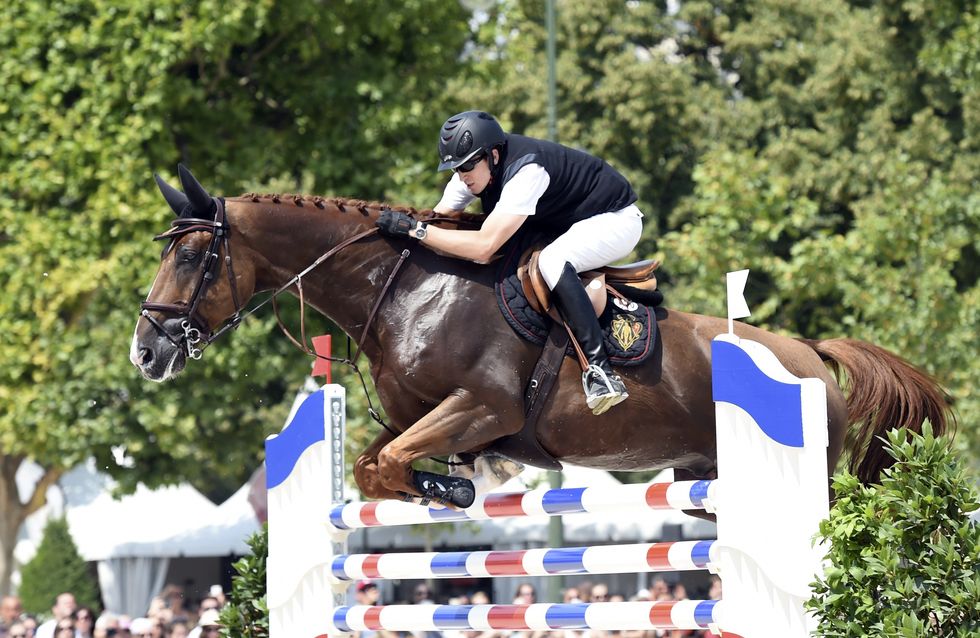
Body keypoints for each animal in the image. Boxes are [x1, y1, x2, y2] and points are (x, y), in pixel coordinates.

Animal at [128, 166, 948, 516]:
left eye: (194, 257)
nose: (147, 351)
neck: (401, 290)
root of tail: (809, 354)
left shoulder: (484, 407)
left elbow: (389, 462)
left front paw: (455, 485)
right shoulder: (419, 415)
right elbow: (370, 466)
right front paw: (455, 485)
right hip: (700, 478)